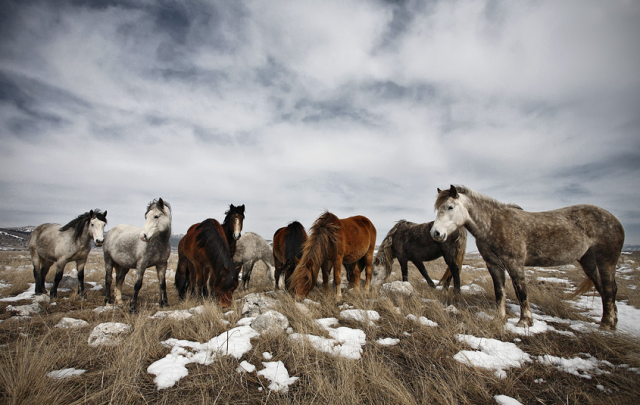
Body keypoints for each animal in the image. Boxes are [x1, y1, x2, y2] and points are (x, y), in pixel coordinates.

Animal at [430, 185, 624, 330]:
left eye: (450, 207)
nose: (435, 233)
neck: (493, 224)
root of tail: (614, 219)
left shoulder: (514, 263)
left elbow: (520, 290)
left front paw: (525, 321)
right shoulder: (494, 265)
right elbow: (499, 291)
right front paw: (498, 318)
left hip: (606, 261)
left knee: (609, 288)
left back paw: (606, 324)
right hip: (588, 262)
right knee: (603, 288)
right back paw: (612, 322)